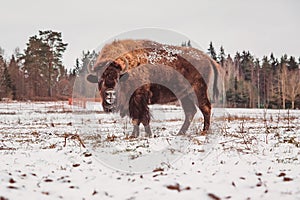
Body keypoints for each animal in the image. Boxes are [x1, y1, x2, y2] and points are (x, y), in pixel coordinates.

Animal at [86, 39, 223, 138]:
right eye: (100, 80)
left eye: (117, 79)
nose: (110, 94)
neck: (126, 71)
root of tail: (207, 57)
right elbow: (137, 119)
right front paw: (136, 135)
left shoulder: (138, 99)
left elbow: (142, 118)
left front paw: (144, 135)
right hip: (184, 96)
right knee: (190, 112)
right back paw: (180, 133)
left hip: (198, 91)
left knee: (205, 108)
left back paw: (204, 131)